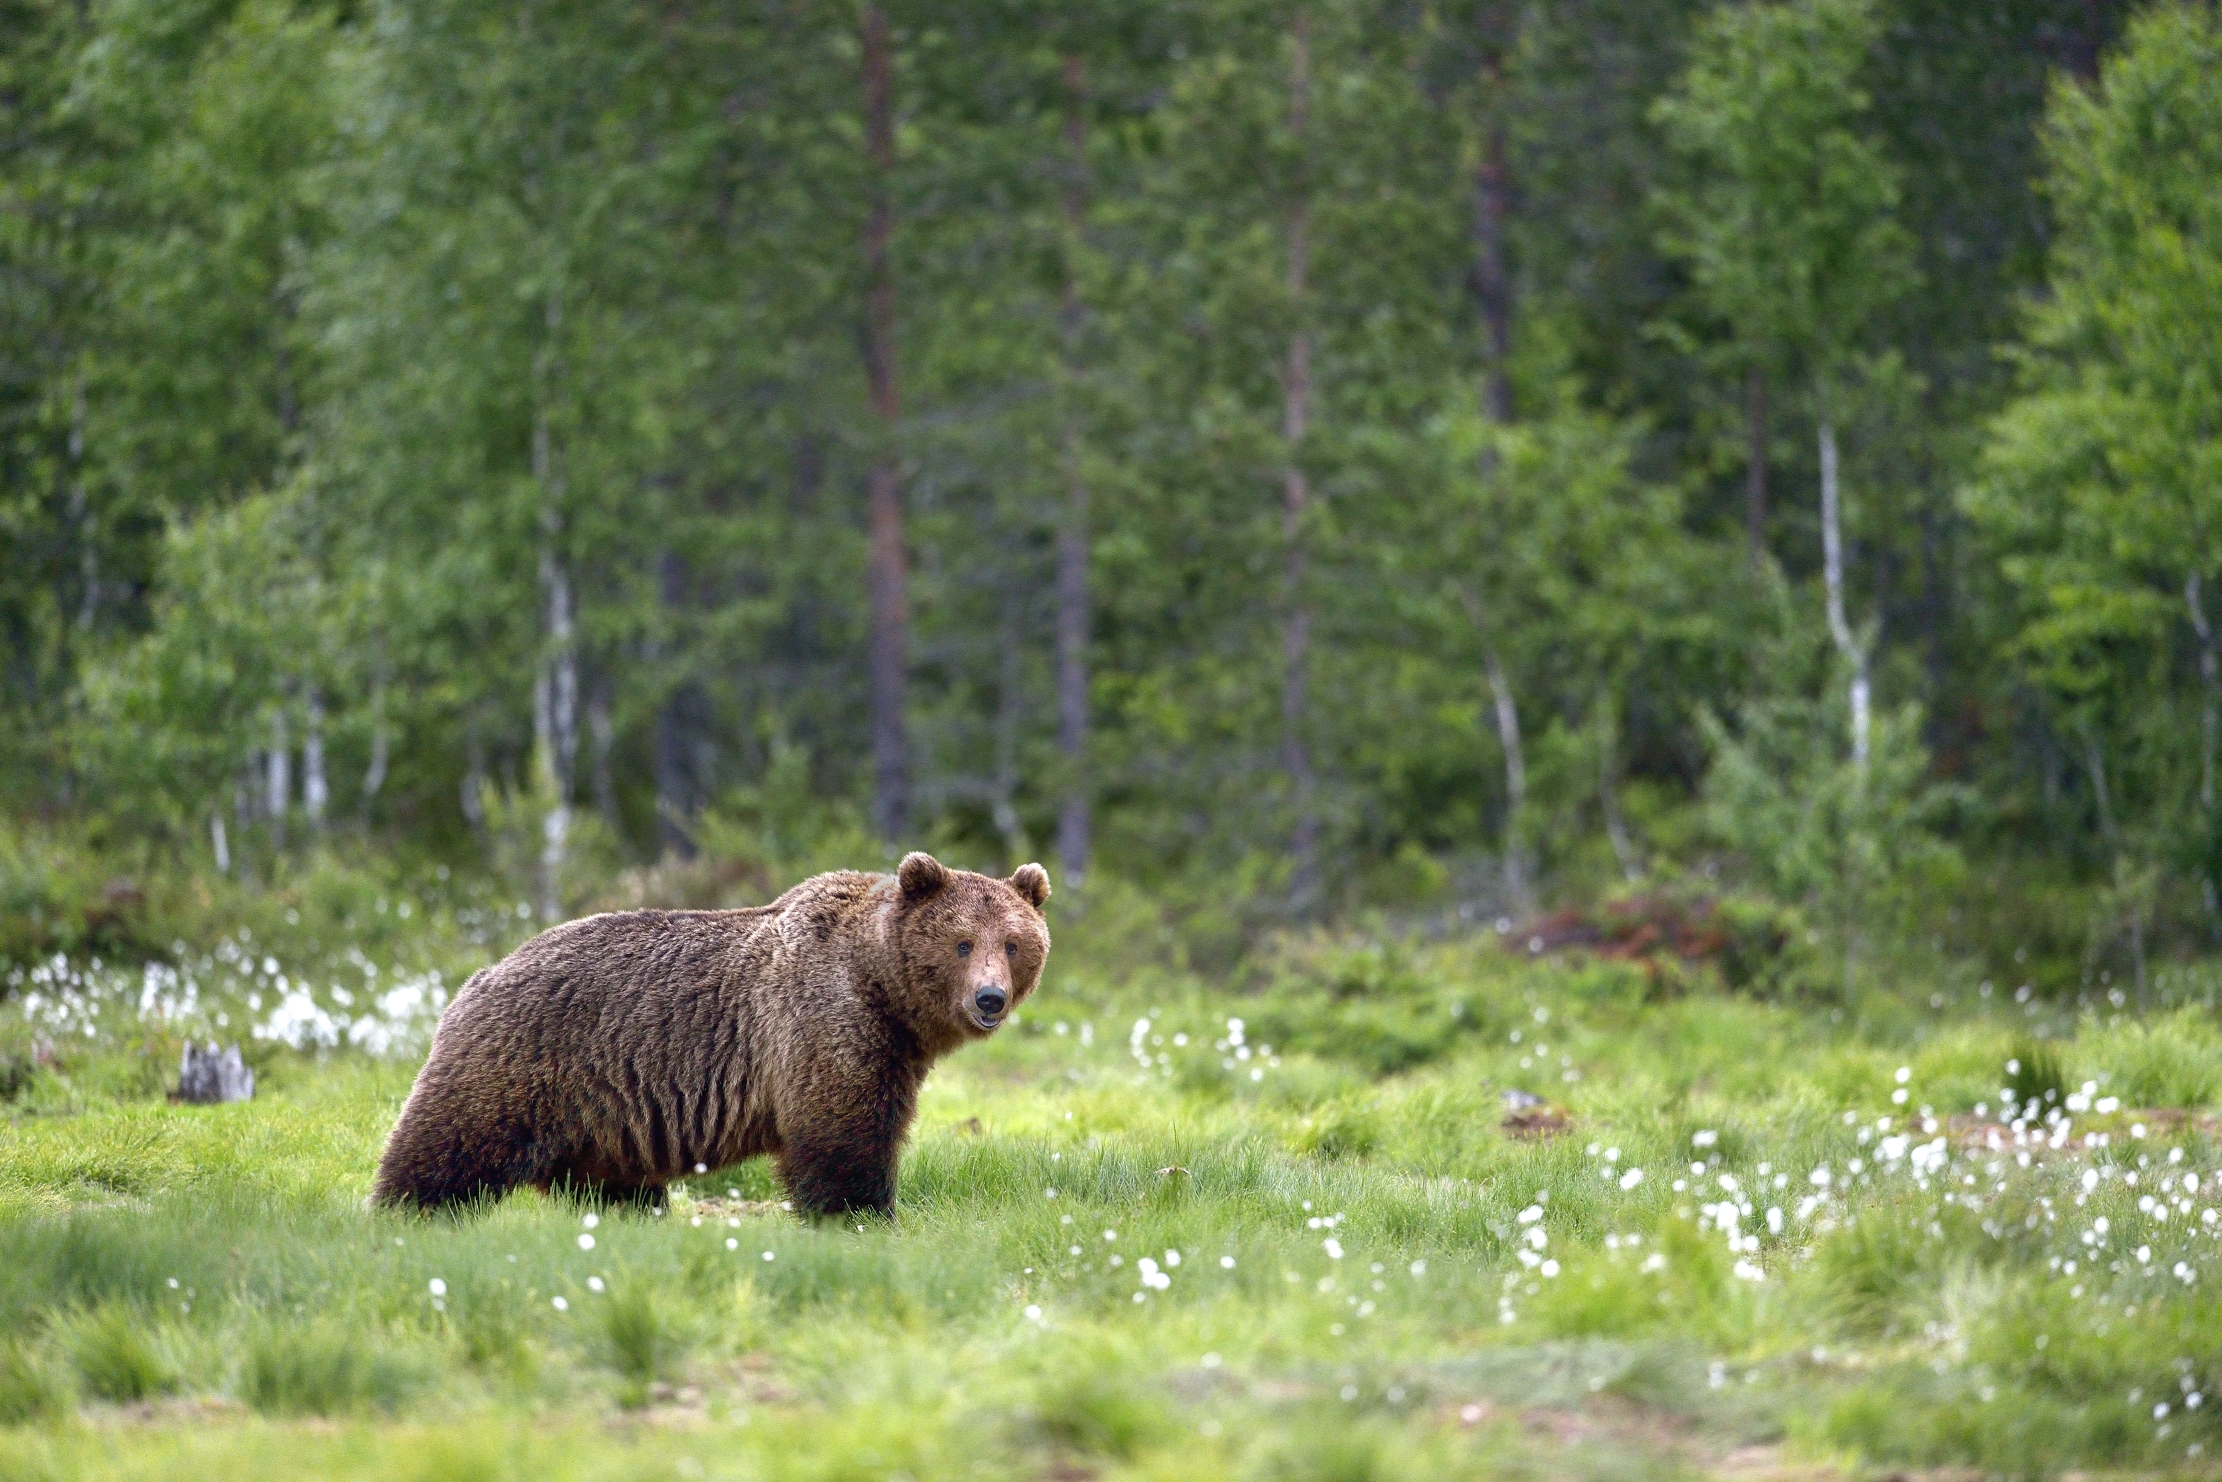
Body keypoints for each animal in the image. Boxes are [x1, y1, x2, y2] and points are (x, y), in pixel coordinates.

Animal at [370, 851, 1049, 1217]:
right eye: (962, 942)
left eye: (1013, 943)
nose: (989, 998)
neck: (883, 989)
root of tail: (475, 978)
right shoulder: (825, 1024)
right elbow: (841, 1136)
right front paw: (862, 1214)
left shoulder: (891, 1050)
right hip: (520, 1061)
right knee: (449, 1148)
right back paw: (403, 1215)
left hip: (600, 1118)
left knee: (611, 1185)